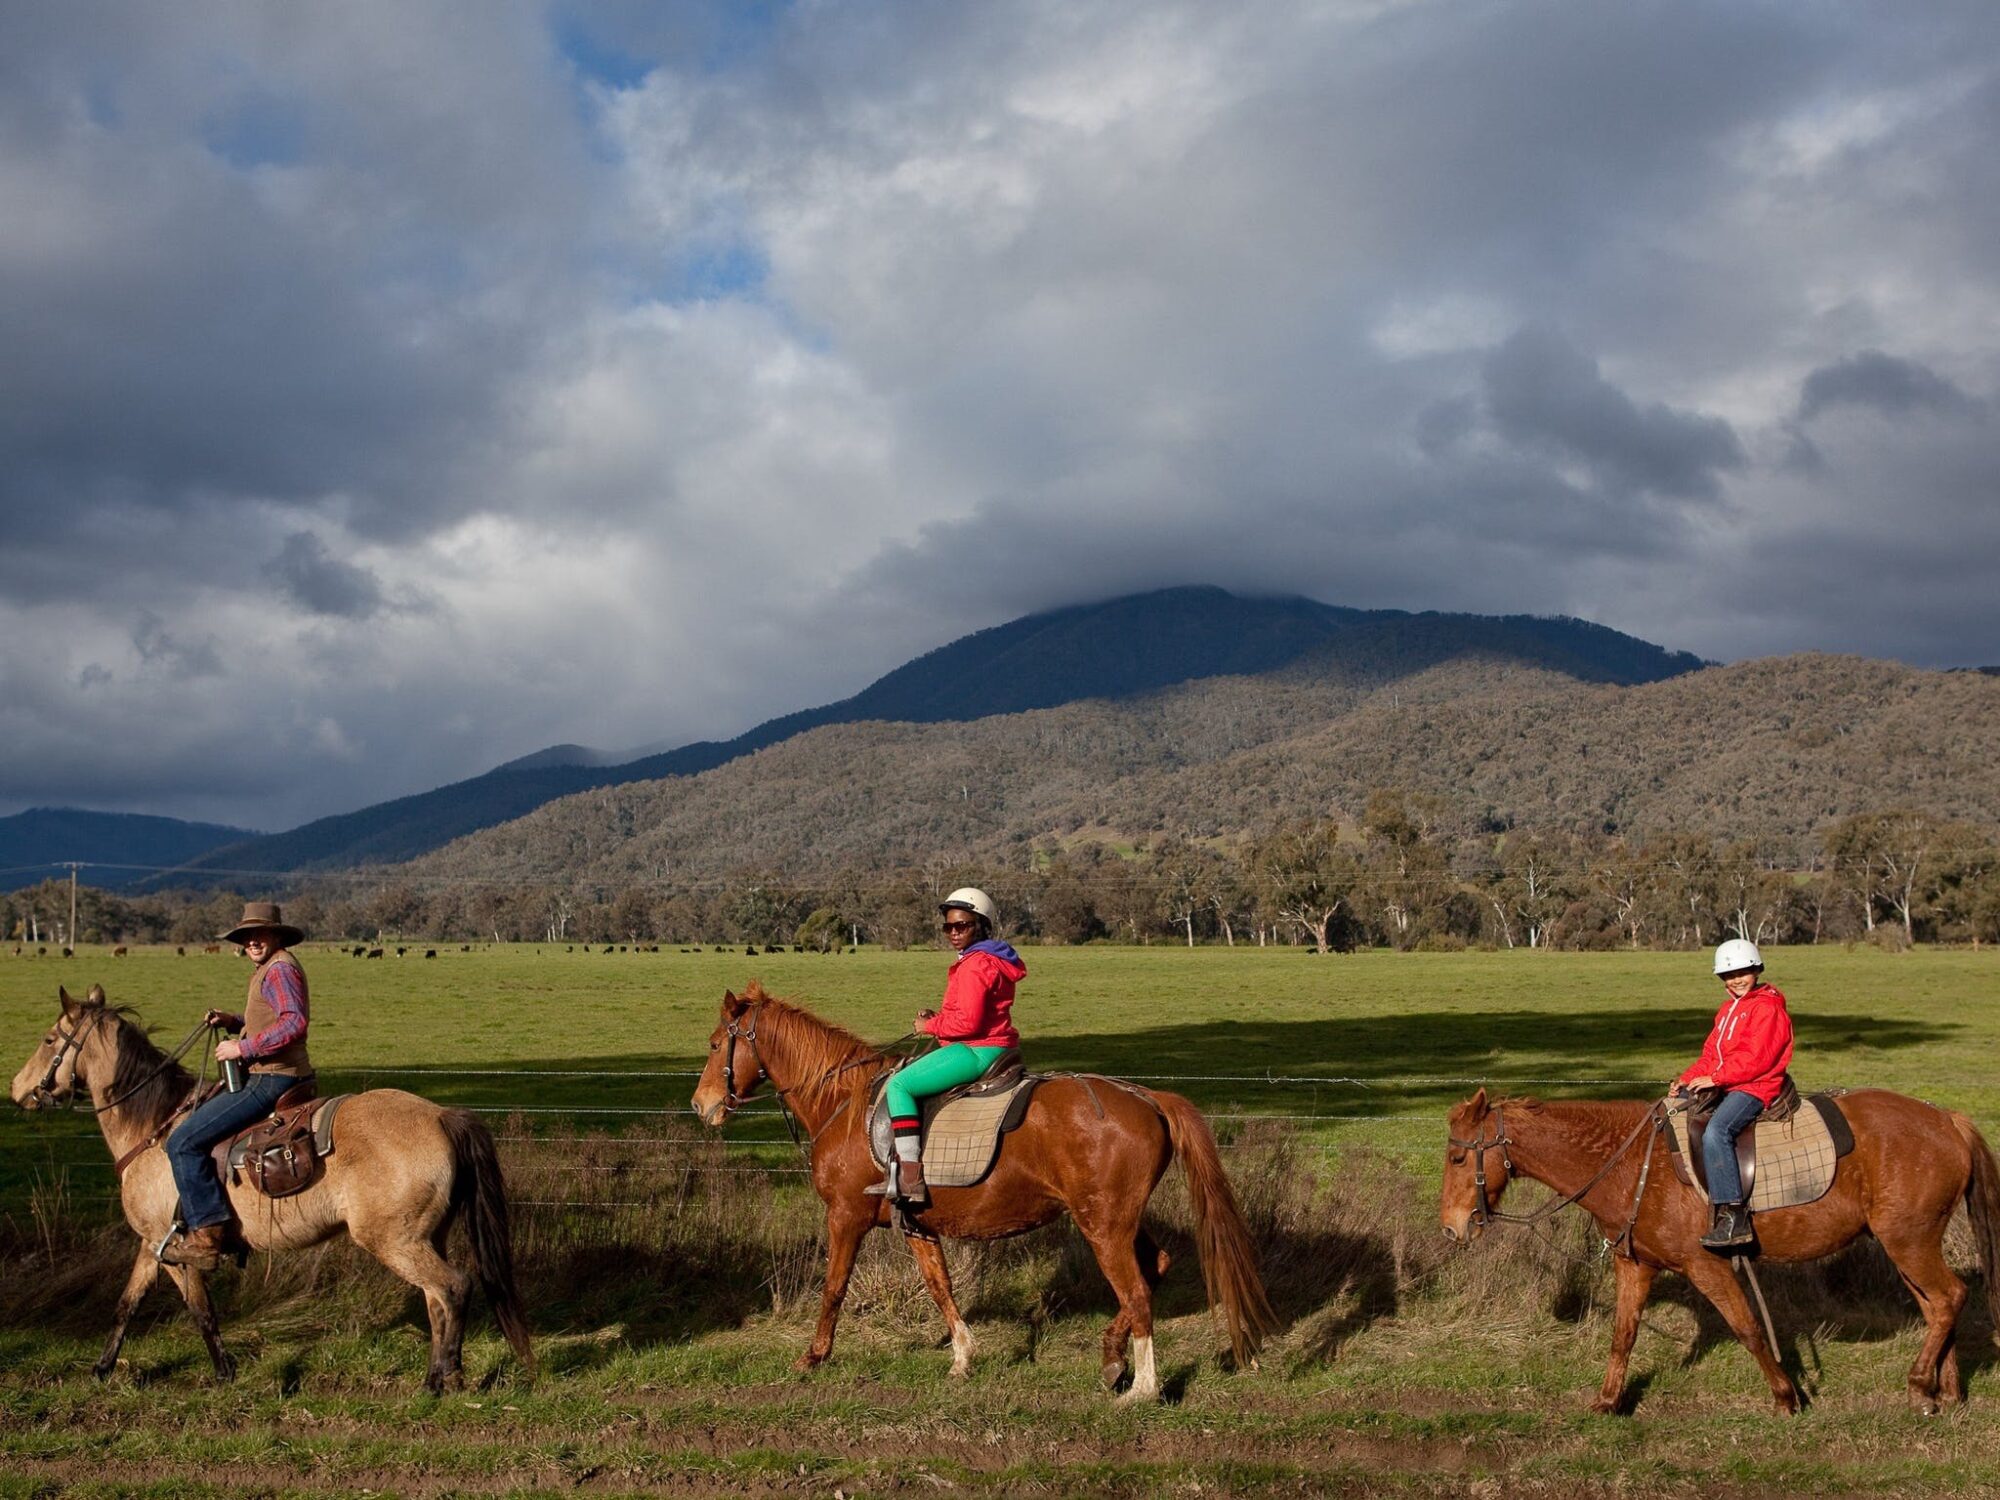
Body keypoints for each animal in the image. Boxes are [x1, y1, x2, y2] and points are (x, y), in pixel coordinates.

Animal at [9, 988, 540, 1400]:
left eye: (49, 1039)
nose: (16, 1089)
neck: (154, 1129)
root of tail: (442, 1116)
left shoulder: (176, 1247)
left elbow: (201, 1311)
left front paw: (224, 1373)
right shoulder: (152, 1243)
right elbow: (127, 1303)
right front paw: (101, 1369)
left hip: (396, 1241)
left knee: (452, 1287)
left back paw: (440, 1380)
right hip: (427, 1237)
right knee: (436, 1299)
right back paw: (442, 1374)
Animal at [696, 988, 1272, 1400]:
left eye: (714, 1044)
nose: (702, 1105)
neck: (843, 1102)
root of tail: (1145, 1096)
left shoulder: (845, 1217)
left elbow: (834, 1287)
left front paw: (814, 1356)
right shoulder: (917, 1226)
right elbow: (940, 1287)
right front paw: (963, 1357)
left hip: (1103, 1226)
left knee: (1137, 1293)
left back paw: (1143, 1389)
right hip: (1118, 1220)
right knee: (1157, 1266)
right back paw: (1113, 1356)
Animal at [1440, 1096, 2000, 1424]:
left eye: (1457, 1157)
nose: (1450, 1226)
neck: (1631, 1162)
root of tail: (1946, 1119)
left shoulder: (1707, 1266)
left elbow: (1748, 1328)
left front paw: (1786, 1397)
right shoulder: (1634, 1264)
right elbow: (1623, 1335)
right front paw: (1608, 1401)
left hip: (1909, 1241)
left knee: (1948, 1298)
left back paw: (1920, 1383)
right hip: (1908, 1245)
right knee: (1937, 1307)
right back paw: (1941, 1392)